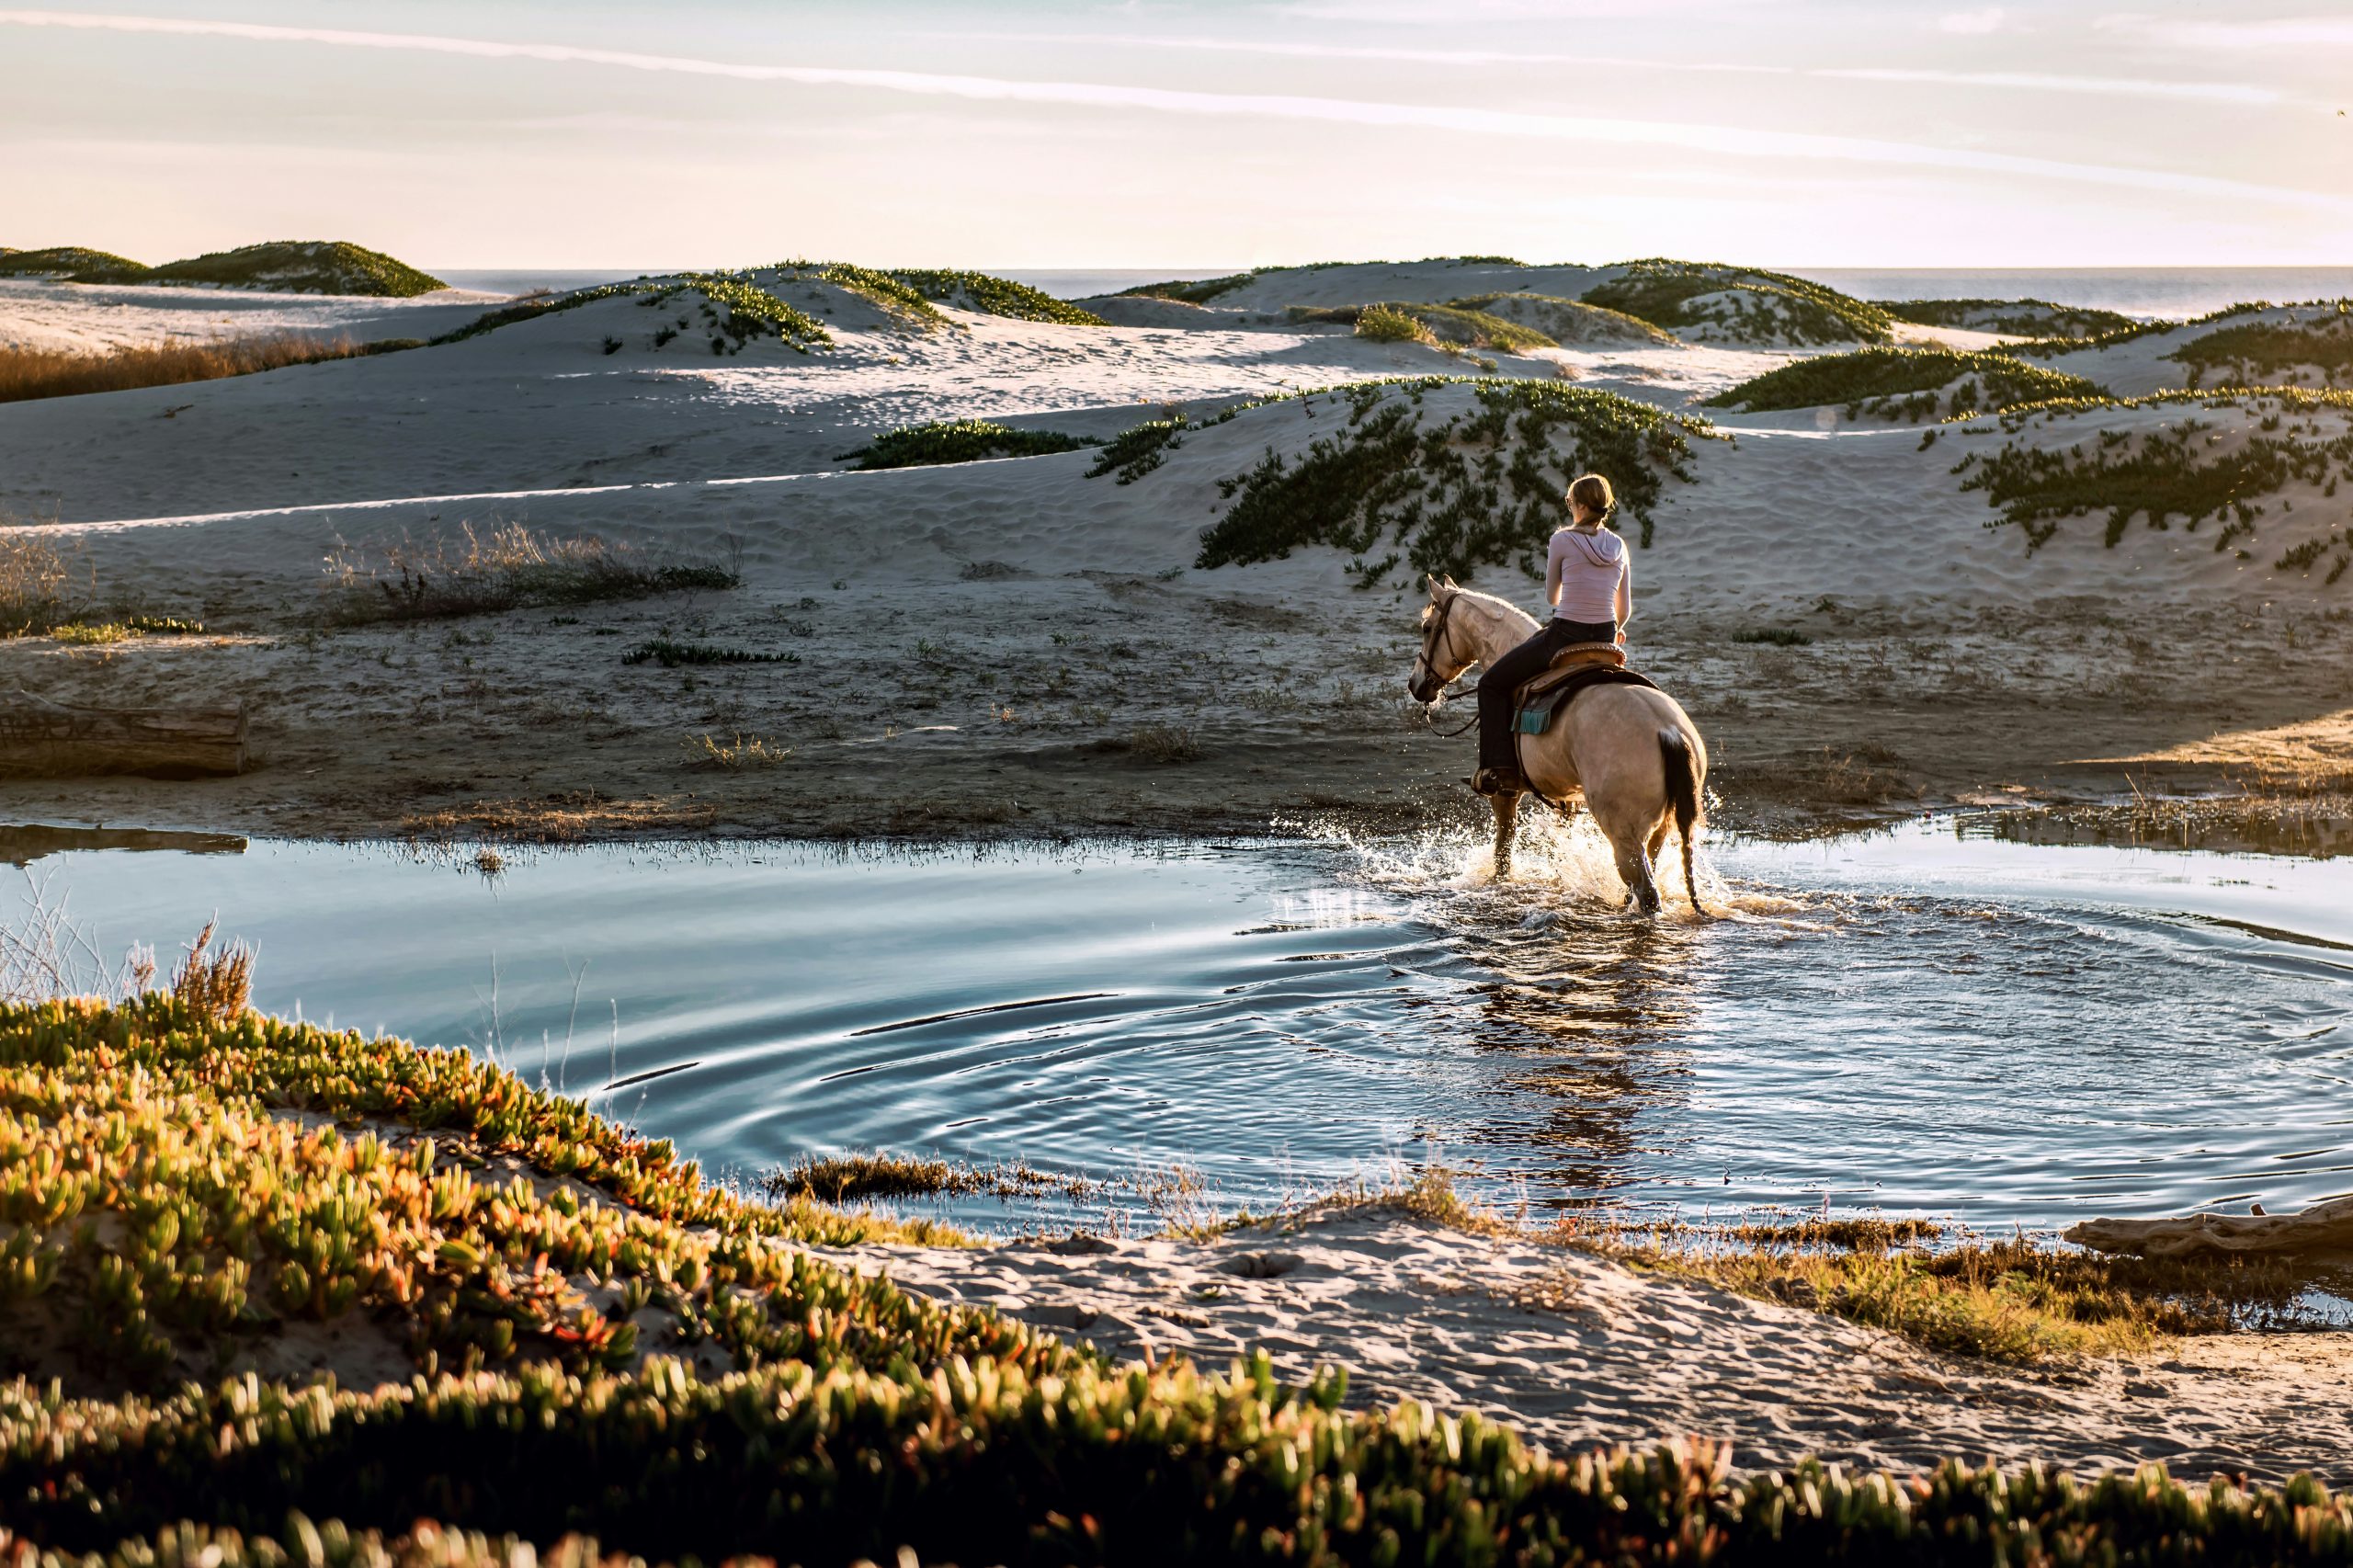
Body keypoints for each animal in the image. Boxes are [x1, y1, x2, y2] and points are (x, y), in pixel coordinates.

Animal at [1406, 574, 1708, 915]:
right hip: (1659, 831)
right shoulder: (1565, 800)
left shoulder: (1505, 793)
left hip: (1624, 834)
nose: (1415, 685)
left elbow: (1503, 851)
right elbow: (1557, 850)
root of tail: (1668, 731)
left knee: (1647, 894)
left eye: (1427, 628)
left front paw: (1498, 887)